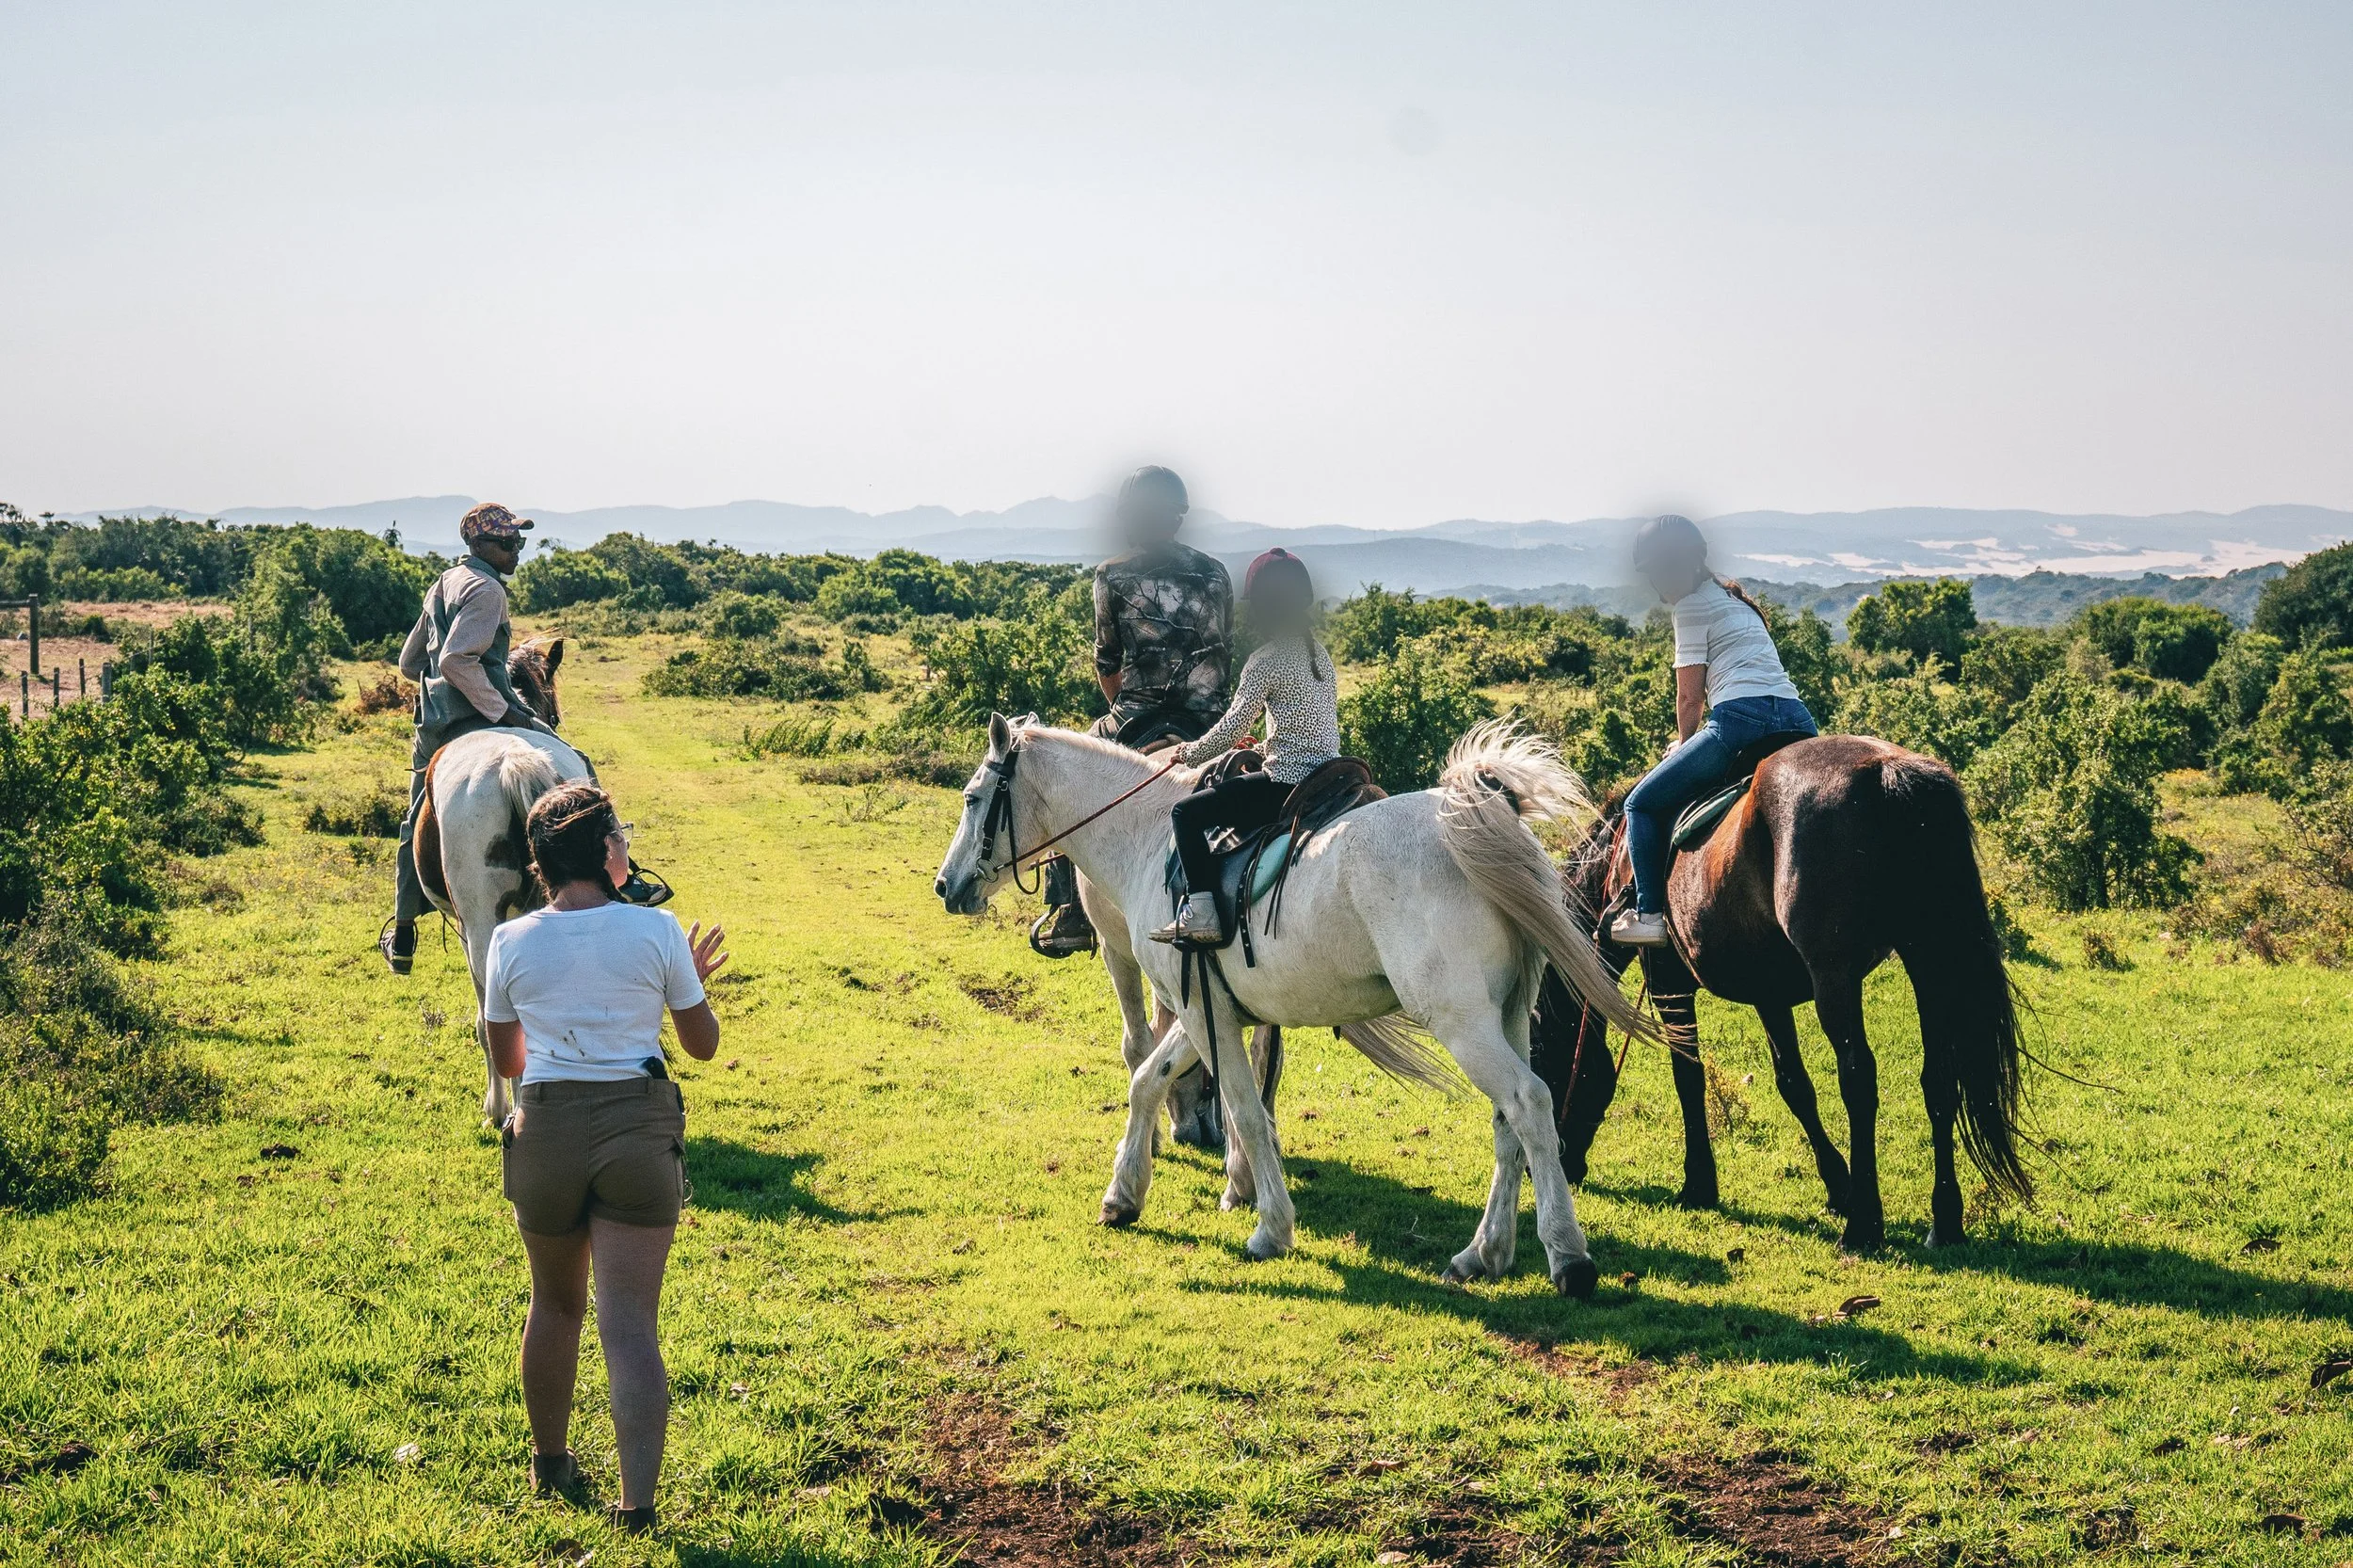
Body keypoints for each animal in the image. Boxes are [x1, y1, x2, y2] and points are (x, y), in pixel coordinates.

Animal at [936, 716, 1654, 1297]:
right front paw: (1124, 1194)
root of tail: (1465, 825)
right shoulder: (1204, 1009)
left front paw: (1270, 1228)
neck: (1145, 837)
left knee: (1529, 1104)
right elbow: (1147, 1081)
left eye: (973, 799)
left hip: (1464, 1024)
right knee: (1511, 1122)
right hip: (1507, 1016)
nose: (946, 885)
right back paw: (1484, 1254)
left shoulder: (1203, 1013)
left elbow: (1247, 1114)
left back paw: (1567, 1257)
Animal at [1537, 734, 2030, 1252]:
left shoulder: (1669, 983)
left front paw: (1699, 1184)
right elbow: (1794, 1084)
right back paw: (1944, 1220)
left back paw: (1863, 1226)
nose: (1563, 1165)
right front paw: (1837, 1185)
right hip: (1929, 961)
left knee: (1859, 1079)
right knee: (1938, 1079)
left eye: (1539, 1054)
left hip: (1835, 974)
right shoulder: (1768, 991)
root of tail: (1887, 773)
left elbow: (1688, 1077)